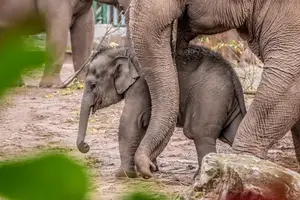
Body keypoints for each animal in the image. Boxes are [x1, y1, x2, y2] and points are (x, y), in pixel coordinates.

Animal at [76, 44, 247, 178]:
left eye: (92, 85)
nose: (86, 145)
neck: (123, 50)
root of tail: (234, 75)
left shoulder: (141, 85)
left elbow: (131, 121)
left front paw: (123, 174)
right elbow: (145, 124)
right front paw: (153, 169)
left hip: (209, 98)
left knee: (199, 134)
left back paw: (200, 177)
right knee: (233, 132)